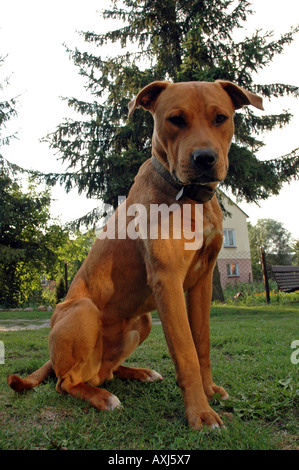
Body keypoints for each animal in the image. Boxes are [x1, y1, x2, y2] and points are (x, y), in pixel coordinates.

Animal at [7, 80, 262, 430]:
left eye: (220, 118)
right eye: (175, 119)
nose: (205, 159)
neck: (189, 197)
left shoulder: (203, 281)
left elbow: (202, 344)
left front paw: (209, 391)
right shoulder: (168, 281)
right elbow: (186, 353)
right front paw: (200, 413)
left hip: (142, 320)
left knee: (104, 372)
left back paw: (139, 373)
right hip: (83, 311)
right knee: (68, 382)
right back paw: (103, 398)